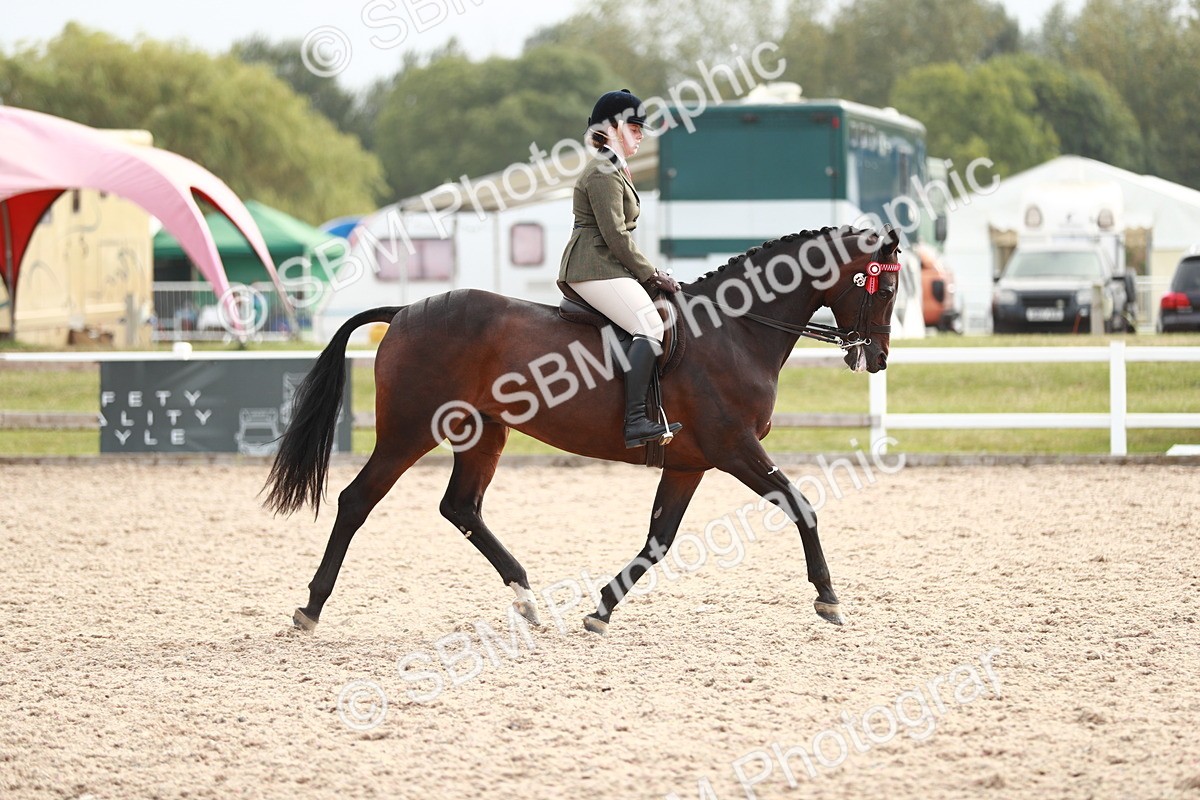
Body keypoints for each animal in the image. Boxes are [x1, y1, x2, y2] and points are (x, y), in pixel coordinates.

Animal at [264, 225, 902, 634]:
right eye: (888, 286)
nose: (876, 359)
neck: (735, 330)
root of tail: (402, 312)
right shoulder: (734, 448)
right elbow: (801, 506)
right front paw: (829, 599)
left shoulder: (690, 461)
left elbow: (659, 539)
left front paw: (601, 609)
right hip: (409, 431)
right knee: (357, 500)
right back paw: (310, 609)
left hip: (482, 433)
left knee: (461, 507)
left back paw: (526, 599)